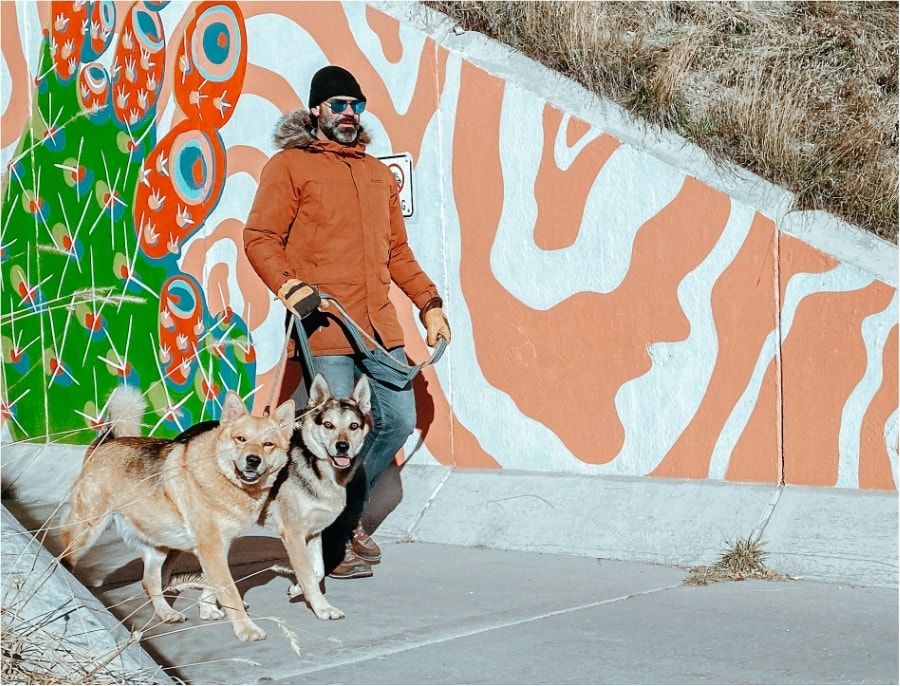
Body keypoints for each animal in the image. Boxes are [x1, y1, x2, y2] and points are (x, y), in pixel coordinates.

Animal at [61, 390, 294, 644]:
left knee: (149, 582)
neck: (221, 475)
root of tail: (104, 443)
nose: (253, 460)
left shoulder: (217, 548)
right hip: (86, 532)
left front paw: (208, 609)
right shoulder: (211, 548)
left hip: (160, 547)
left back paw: (166, 613)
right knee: (67, 558)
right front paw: (245, 628)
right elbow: (229, 590)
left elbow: (213, 584)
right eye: (240, 439)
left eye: (268, 444)